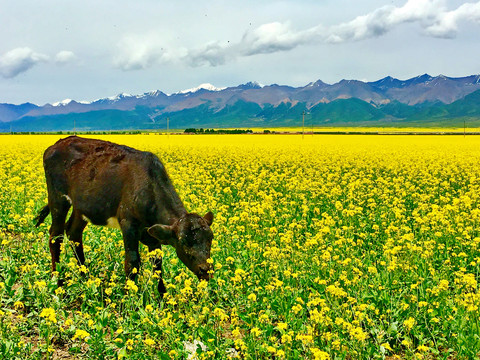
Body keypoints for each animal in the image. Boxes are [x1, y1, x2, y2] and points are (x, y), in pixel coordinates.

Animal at [33, 135, 214, 296]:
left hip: (82, 207)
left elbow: (157, 263)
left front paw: (162, 297)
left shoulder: (152, 234)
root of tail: (57, 144)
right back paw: (57, 282)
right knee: (56, 236)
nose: (206, 270)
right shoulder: (128, 224)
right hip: (58, 199)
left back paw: (86, 277)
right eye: (184, 242)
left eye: (210, 238)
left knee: (73, 233)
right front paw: (128, 299)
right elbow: (132, 263)